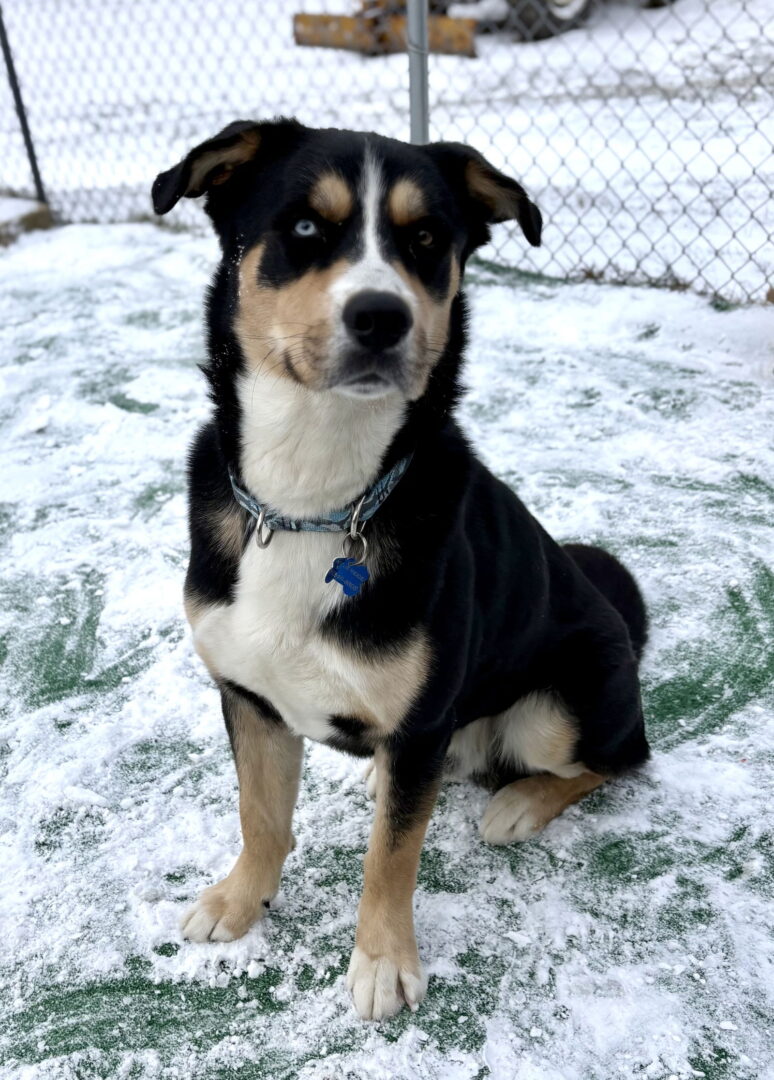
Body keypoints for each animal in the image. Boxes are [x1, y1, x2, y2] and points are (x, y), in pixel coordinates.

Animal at [152, 118, 649, 1020]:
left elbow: (391, 855)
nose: (381, 316)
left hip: (559, 705)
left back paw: (519, 804)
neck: (313, 497)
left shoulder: (418, 725)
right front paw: (240, 900)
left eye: (425, 242)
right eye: (305, 226)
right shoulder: (248, 692)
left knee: (618, 757)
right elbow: (259, 812)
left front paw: (383, 964)